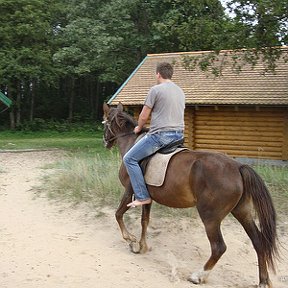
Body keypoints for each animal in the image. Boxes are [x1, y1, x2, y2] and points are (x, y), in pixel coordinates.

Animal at [102, 102, 278, 286]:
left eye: (104, 121)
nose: (105, 142)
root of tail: (238, 167)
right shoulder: (147, 198)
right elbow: (144, 221)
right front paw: (141, 246)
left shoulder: (129, 191)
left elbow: (118, 214)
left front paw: (130, 239)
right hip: (242, 211)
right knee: (258, 242)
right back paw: (263, 280)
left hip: (210, 217)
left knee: (219, 247)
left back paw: (198, 276)